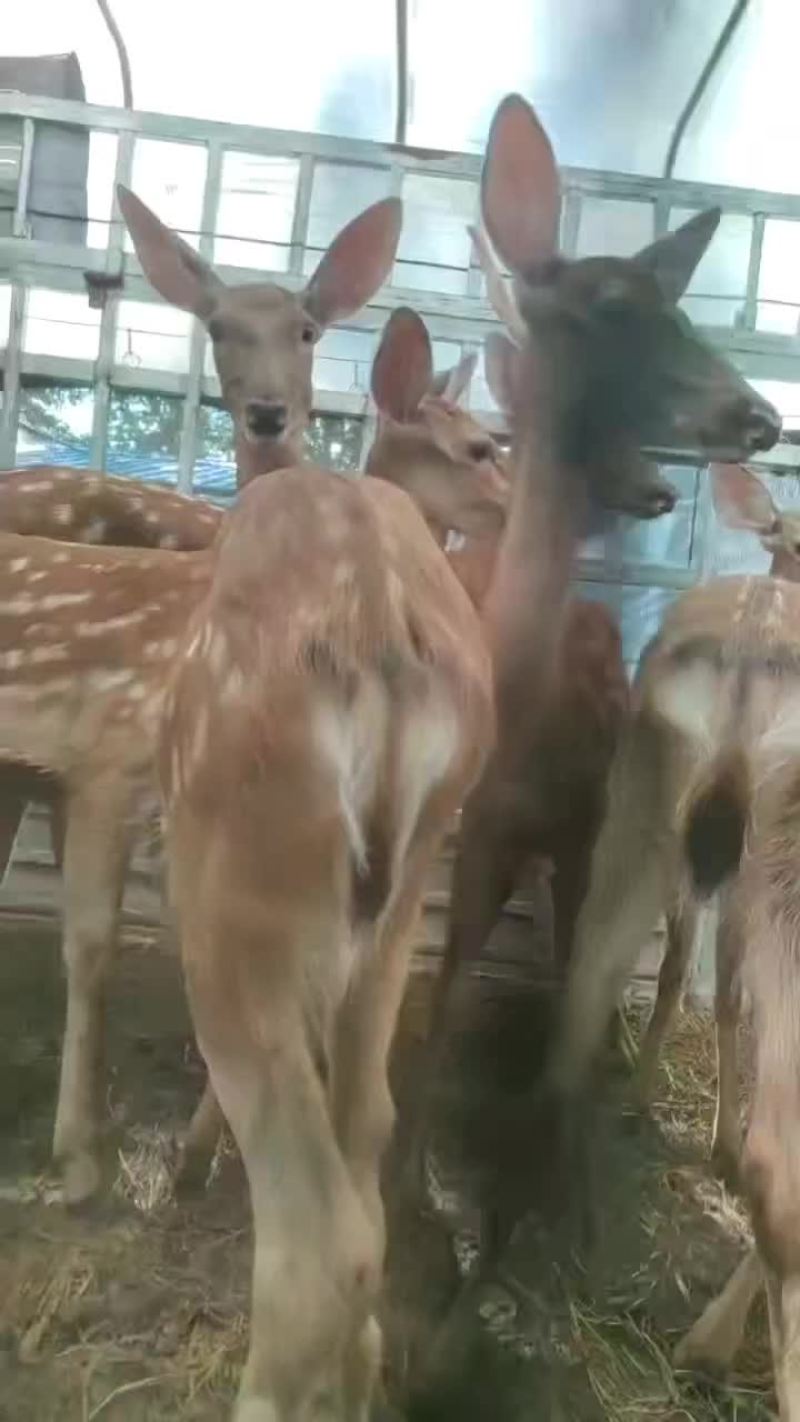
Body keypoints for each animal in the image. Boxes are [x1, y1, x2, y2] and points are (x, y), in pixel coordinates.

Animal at [0, 190, 403, 1207]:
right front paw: (85, 1161)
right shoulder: (105, 764)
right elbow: (96, 944)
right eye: (216, 326)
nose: (266, 411)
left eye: (308, 327)